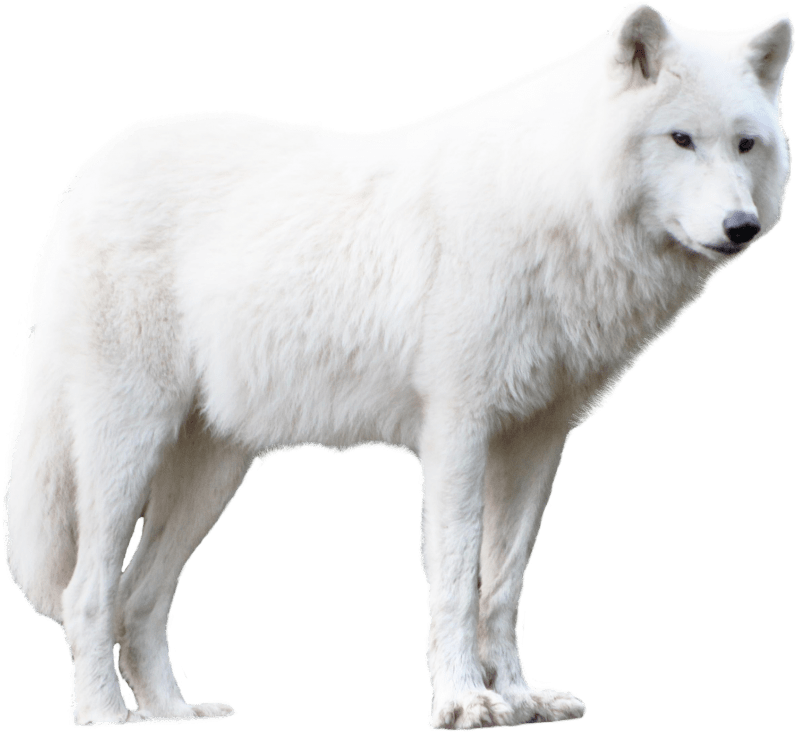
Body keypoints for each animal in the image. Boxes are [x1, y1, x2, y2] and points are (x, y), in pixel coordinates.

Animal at [4, 3, 792, 729]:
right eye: (681, 139)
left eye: (745, 144)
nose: (741, 227)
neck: (555, 203)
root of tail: (89, 173)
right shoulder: (457, 431)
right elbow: (455, 578)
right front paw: (465, 702)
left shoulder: (536, 443)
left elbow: (503, 586)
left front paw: (519, 698)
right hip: (127, 450)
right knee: (87, 592)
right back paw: (104, 715)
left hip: (214, 474)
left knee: (139, 600)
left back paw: (175, 713)